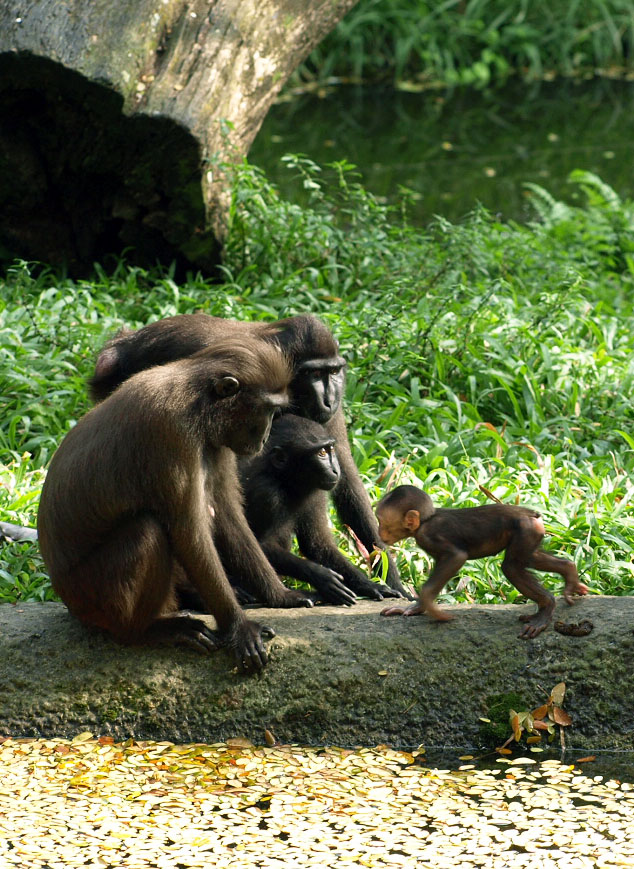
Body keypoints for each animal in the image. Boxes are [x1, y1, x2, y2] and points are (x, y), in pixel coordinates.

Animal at [37, 340, 314, 673]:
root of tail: (65, 594)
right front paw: (240, 628)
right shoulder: (172, 432)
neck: (199, 402)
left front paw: (282, 596)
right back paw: (147, 630)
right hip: (94, 595)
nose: (264, 437)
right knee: (147, 529)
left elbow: (227, 516)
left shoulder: (217, 442)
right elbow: (189, 534)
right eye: (269, 410)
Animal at [238, 414, 358, 606]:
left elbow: (317, 544)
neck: (284, 480)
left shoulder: (317, 493)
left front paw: (370, 585)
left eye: (331, 449)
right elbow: (258, 544)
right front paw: (321, 577)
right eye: (321, 453)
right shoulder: (266, 493)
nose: (335, 470)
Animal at [375, 485, 588, 639]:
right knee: (530, 558)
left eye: (382, 522)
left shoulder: (428, 536)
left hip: (527, 529)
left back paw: (546, 608)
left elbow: (456, 557)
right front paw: (416, 607)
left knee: (512, 567)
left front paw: (434, 610)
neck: (426, 521)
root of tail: (531, 514)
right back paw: (569, 572)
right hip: (533, 532)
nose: (378, 532)